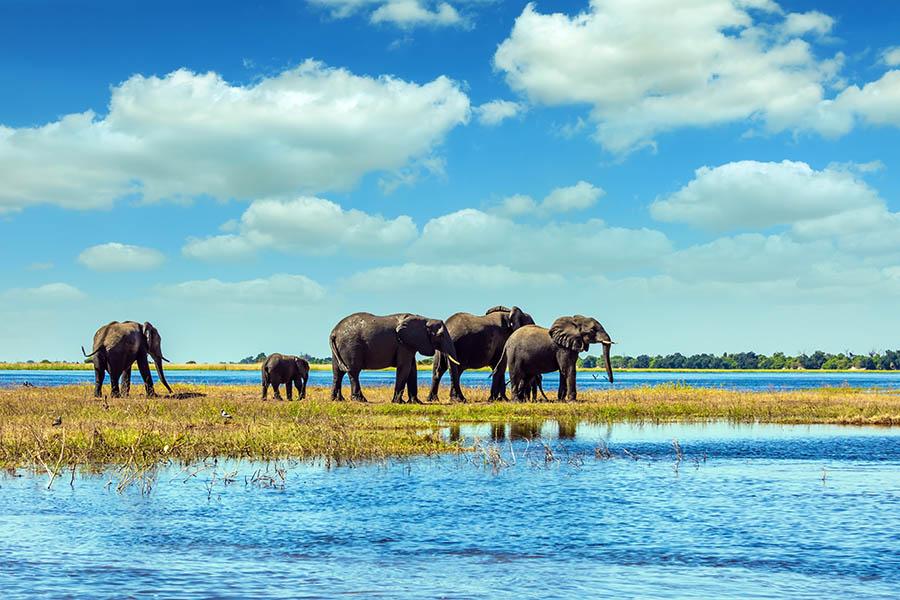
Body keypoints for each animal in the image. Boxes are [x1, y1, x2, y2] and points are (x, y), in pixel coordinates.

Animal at [330, 312, 460, 403]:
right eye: (441, 335)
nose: (459, 400)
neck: (425, 319)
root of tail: (334, 332)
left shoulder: (409, 344)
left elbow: (412, 369)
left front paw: (416, 402)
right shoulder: (403, 343)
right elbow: (405, 368)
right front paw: (399, 402)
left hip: (340, 348)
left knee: (338, 372)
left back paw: (337, 399)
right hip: (350, 346)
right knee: (353, 371)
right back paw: (360, 400)